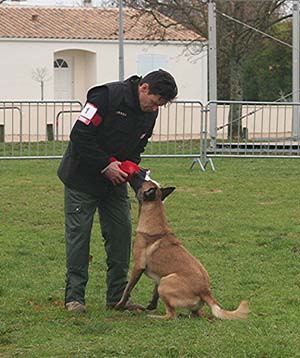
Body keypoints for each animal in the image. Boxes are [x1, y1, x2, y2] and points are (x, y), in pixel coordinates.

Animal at [116, 175, 250, 320]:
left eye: (141, 181)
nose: (135, 175)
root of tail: (206, 292)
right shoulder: (158, 276)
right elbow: (154, 292)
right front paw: (151, 305)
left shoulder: (138, 267)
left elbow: (127, 289)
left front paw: (119, 305)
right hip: (165, 281)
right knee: (197, 314)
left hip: (165, 282)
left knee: (171, 315)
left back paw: (154, 316)